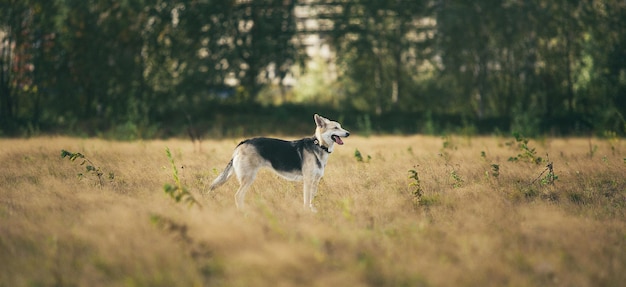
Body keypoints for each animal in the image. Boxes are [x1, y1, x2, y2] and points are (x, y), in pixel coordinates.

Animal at [208, 114, 346, 212]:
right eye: (335, 128)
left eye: (340, 126)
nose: (348, 133)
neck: (319, 145)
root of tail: (242, 143)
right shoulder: (308, 181)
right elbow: (306, 200)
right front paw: (306, 213)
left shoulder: (315, 181)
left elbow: (311, 199)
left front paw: (313, 211)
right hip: (248, 178)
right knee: (238, 196)